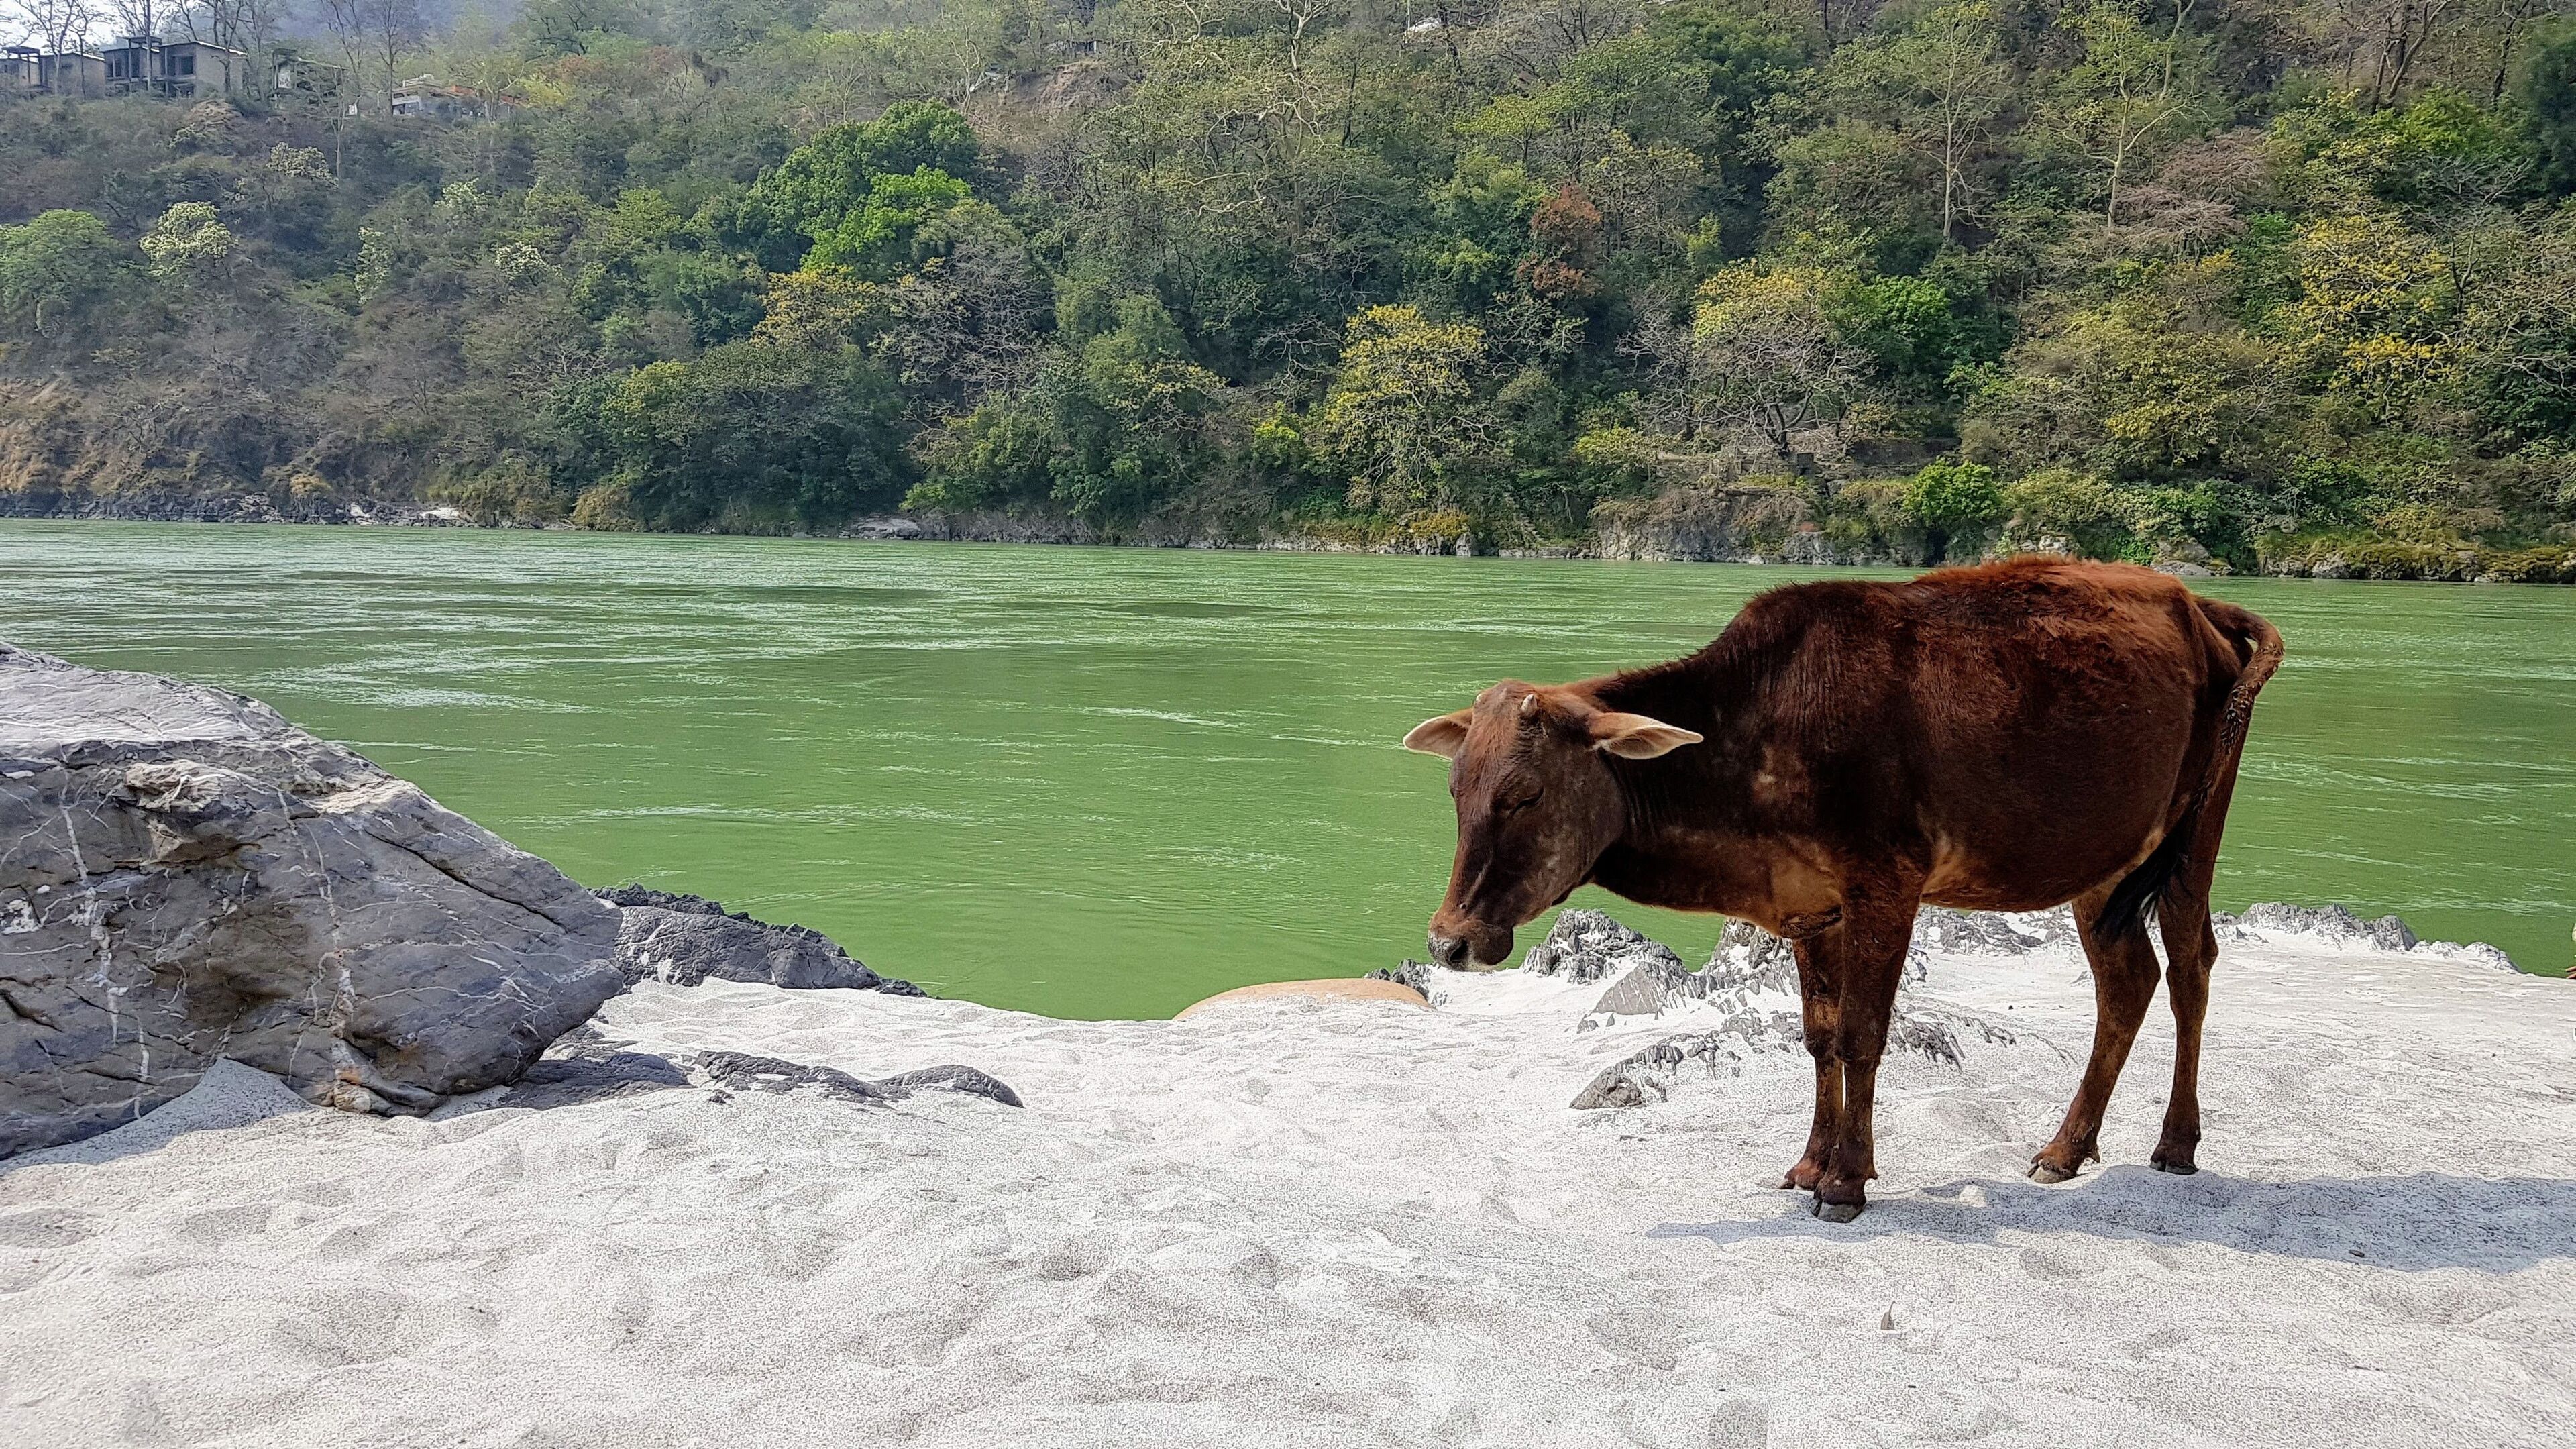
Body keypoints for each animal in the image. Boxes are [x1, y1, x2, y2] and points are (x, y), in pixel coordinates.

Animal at [1402, 558, 2285, 1221]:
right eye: (1455, 790)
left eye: (1525, 795)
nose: (1450, 938)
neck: (1753, 744)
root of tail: (2198, 604)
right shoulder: (1810, 908)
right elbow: (1820, 1038)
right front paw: (1807, 1164)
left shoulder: (1885, 884)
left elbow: (1863, 1035)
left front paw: (1847, 1181)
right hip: (2102, 865)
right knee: (2127, 981)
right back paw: (2067, 1149)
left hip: (2196, 833)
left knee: (2191, 967)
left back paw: (2176, 1142)